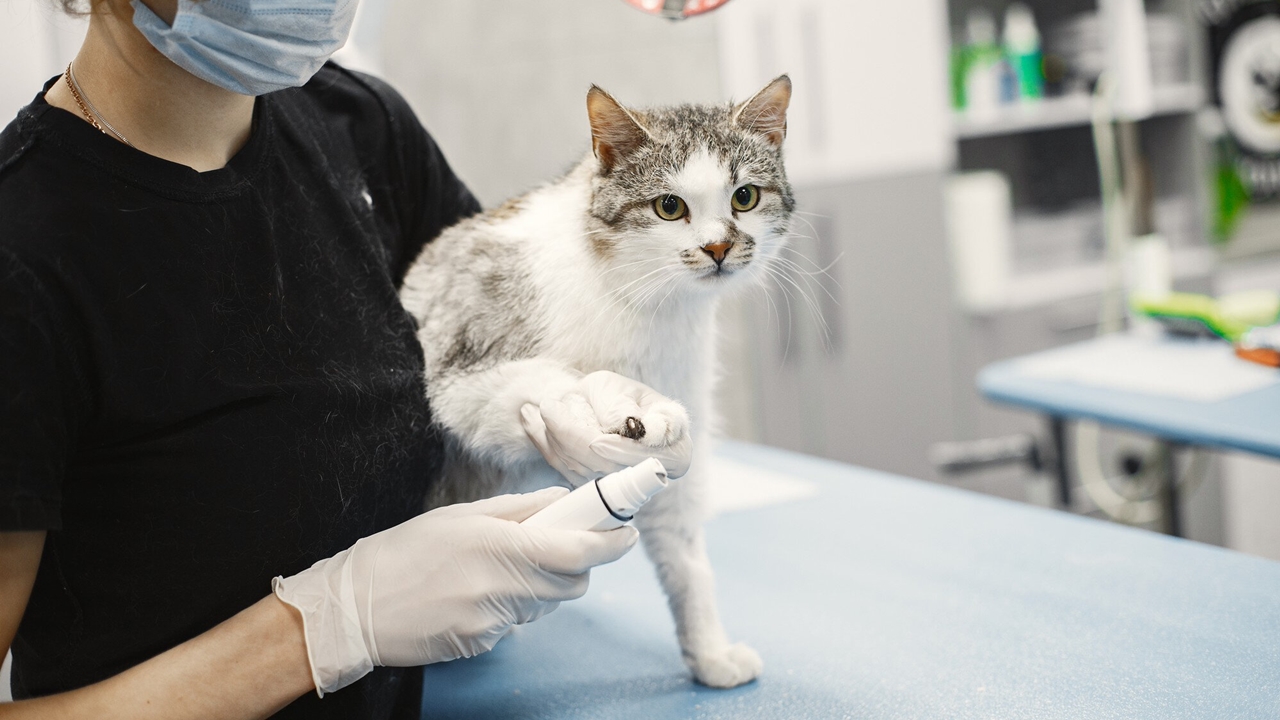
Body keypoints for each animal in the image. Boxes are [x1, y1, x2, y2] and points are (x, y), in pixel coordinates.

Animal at [399, 75, 793, 686]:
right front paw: (607, 401)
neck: (645, 301)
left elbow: (686, 553)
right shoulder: (458, 365)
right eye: (669, 206)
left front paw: (709, 652)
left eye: (744, 197)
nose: (718, 248)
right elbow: (535, 385)